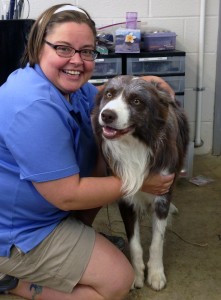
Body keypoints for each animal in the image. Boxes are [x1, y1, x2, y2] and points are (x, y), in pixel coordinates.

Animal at [92, 75, 189, 290]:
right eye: (109, 94)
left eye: (136, 101)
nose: (107, 115)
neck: (135, 144)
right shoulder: (126, 200)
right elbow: (135, 244)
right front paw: (136, 275)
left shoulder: (162, 194)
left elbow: (157, 242)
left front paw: (156, 274)